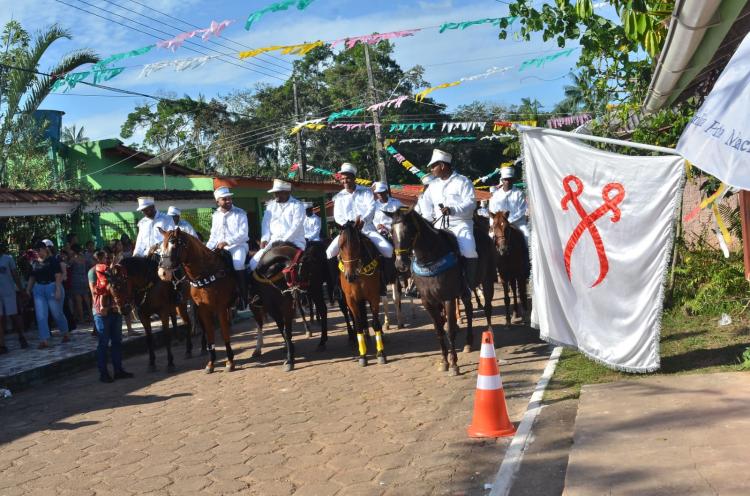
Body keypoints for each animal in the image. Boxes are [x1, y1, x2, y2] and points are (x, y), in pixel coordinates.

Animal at [340, 223, 388, 366]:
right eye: (340, 246)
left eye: (357, 245)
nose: (349, 276)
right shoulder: (351, 300)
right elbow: (359, 325)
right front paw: (362, 355)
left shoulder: (374, 296)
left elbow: (376, 323)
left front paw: (381, 353)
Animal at [388, 206, 500, 376]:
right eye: (391, 232)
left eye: (408, 230)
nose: (401, 264)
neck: (431, 260)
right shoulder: (428, 302)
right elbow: (439, 330)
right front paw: (444, 361)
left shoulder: (448, 297)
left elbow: (450, 330)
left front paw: (454, 364)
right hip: (465, 292)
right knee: (469, 310)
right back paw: (468, 342)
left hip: (487, 281)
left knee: (487, 307)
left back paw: (490, 334)